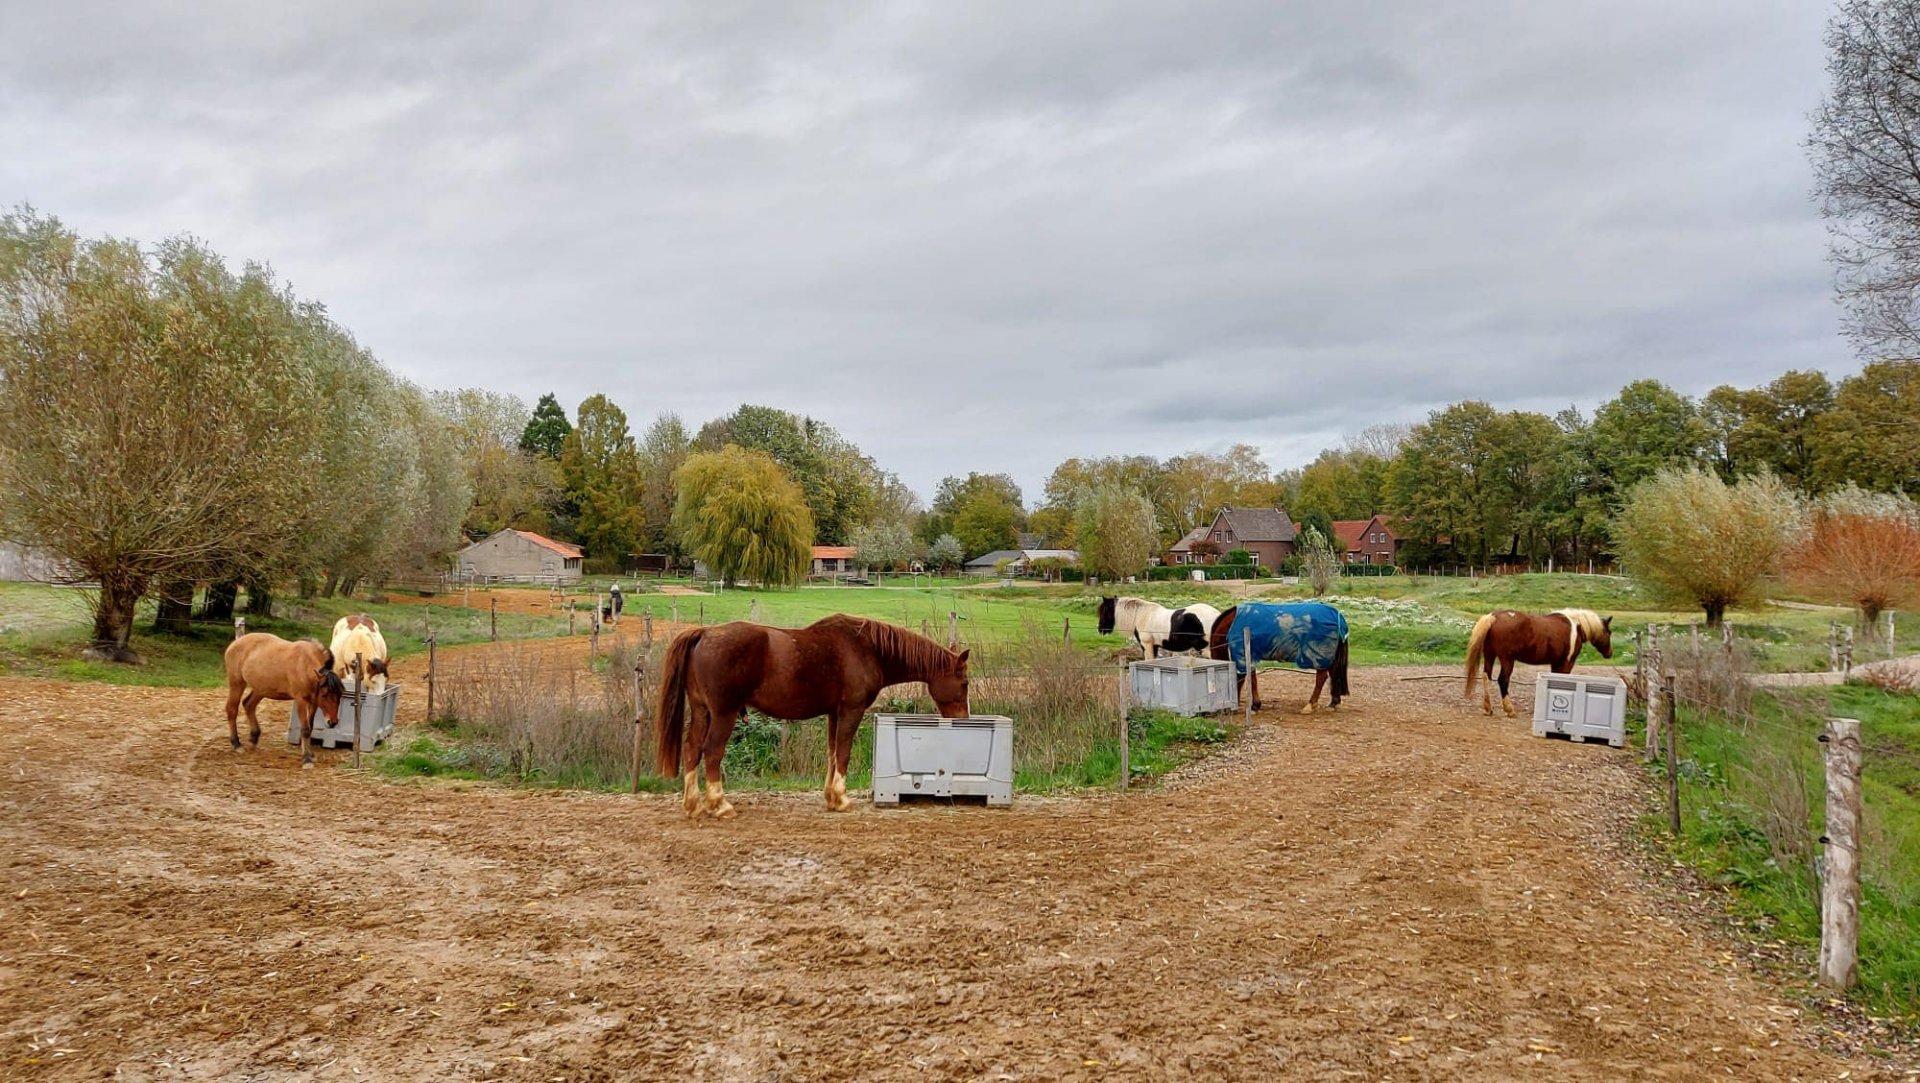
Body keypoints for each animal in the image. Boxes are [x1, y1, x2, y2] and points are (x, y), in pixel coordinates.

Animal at [225, 629, 349, 764]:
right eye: (325, 695)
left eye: (340, 695)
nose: (333, 722)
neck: (304, 664)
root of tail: (234, 644)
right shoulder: (300, 701)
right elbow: (305, 729)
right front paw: (307, 758)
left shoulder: (313, 702)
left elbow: (310, 727)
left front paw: (310, 754)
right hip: (237, 683)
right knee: (232, 710)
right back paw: (236, 744)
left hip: (261, 689)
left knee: (248, 705)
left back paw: (254, 737)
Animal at [656, 614, 967, 818]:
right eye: (964, 683)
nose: (963, 719)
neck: (866, 648)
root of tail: (704, 633)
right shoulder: (851, 711)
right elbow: (843, 753)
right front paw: (841, 799)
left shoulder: (834, 713)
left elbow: (832, 753)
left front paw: (831, 797)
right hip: (724, 714)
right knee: (712, 752)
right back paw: (719, 804)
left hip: (702, 712)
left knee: (692, 749)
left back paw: (693, 805)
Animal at [1213, 606, 1351, 714]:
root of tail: (1338, 617)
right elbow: (1250, 678)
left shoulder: (1243, 655)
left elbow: (1243, 678)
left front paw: (1252, 706)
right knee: (1333, 675)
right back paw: (1333, 703)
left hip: (1318, 656)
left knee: (1321, 678)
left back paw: (1310, 705)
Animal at [1459, 610, 1612, 718]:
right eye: (1609, 632)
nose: (1610, 653)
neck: (1576, 626)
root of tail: (1494, 616)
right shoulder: (1567, 662)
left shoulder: (1555, 663)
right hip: (1507, 659)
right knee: (1503, 680)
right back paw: (1510, 710)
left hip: (1490, 655)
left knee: (1486, 676)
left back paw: (1488, 708)